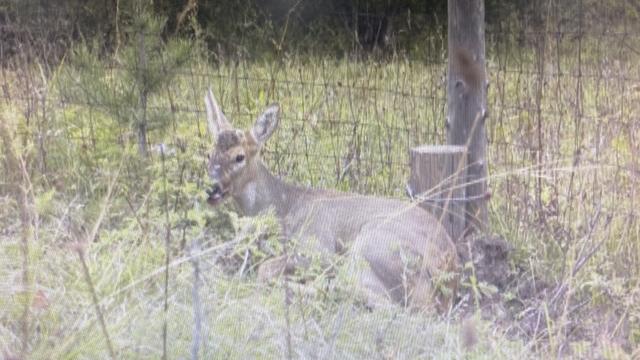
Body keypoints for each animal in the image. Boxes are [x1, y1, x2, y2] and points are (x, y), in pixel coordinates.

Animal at [205, 90, 460, 312]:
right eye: (209, 153)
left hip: (373, 245)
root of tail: (446, 276)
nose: (211, 188)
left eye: (239, 156)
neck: (283, 209)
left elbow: (264, 268)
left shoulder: (318, 247)